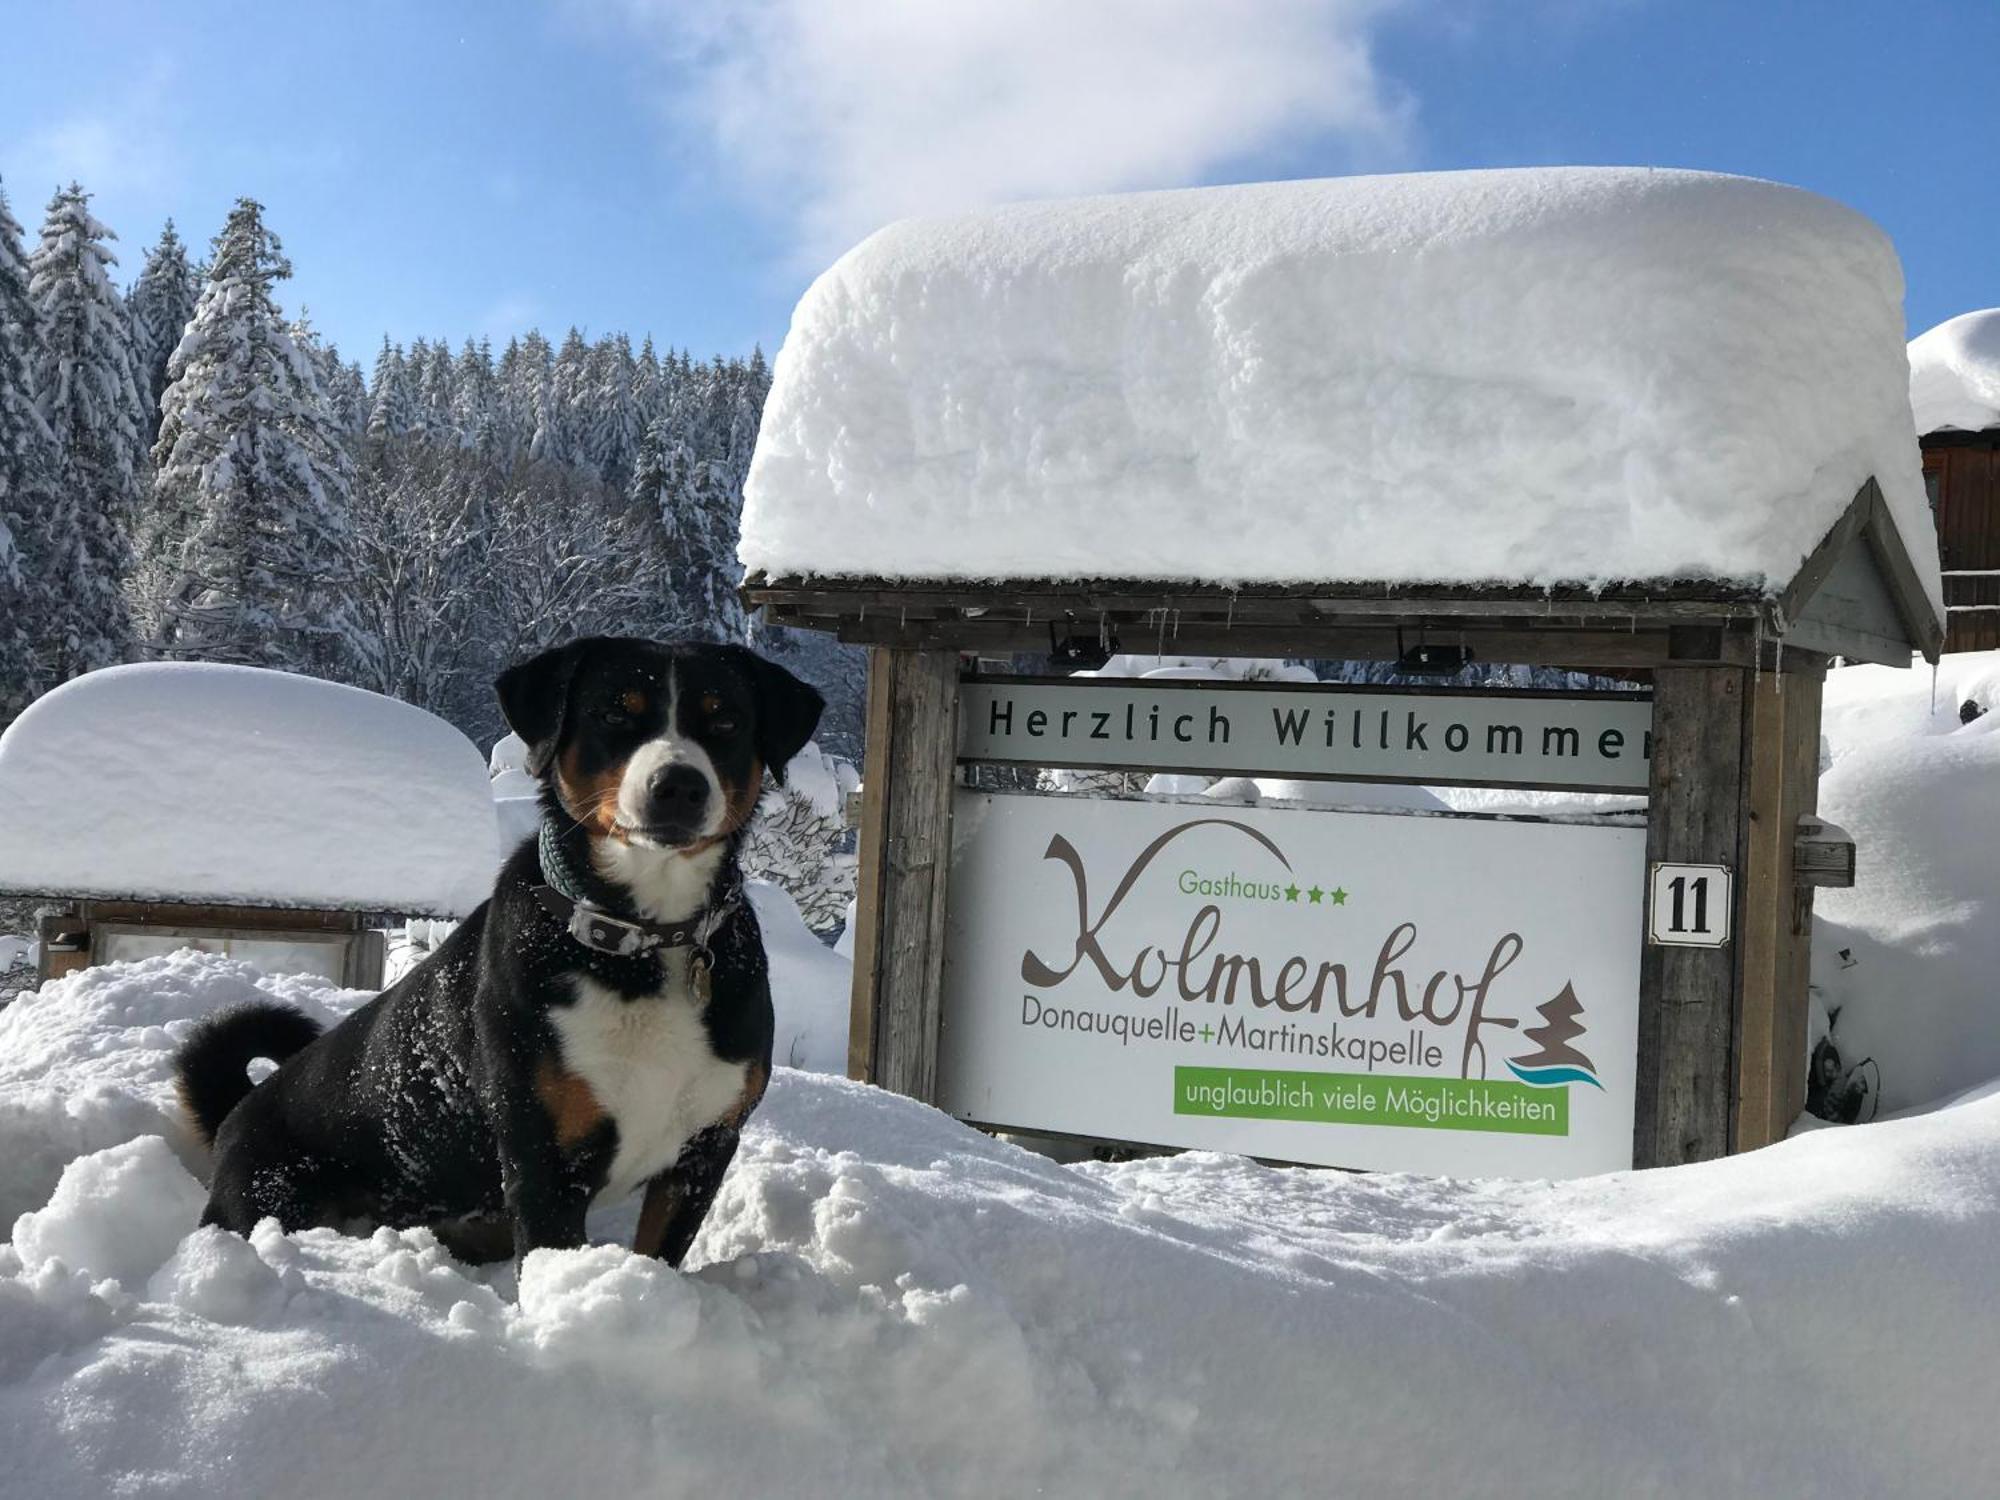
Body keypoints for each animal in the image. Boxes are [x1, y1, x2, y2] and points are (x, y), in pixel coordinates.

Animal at [172, 636, 824, 1272]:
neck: (642, 940)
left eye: (726, 720)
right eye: (614, 713)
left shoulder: (702, 1151)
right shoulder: (543, 1160)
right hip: (275, 1195)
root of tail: (238, 1111)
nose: (678, 786)